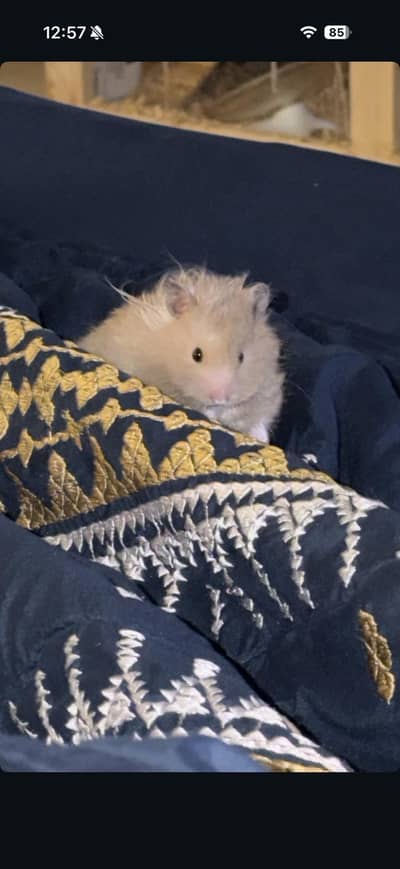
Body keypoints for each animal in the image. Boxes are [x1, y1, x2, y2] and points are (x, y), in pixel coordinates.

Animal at [78, 266, 284, 442]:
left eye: (241, 357)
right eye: (196, 355)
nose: (220, 398)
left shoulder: (268, 391)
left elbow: (258, 417)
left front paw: (263, 440)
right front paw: (215, 415)